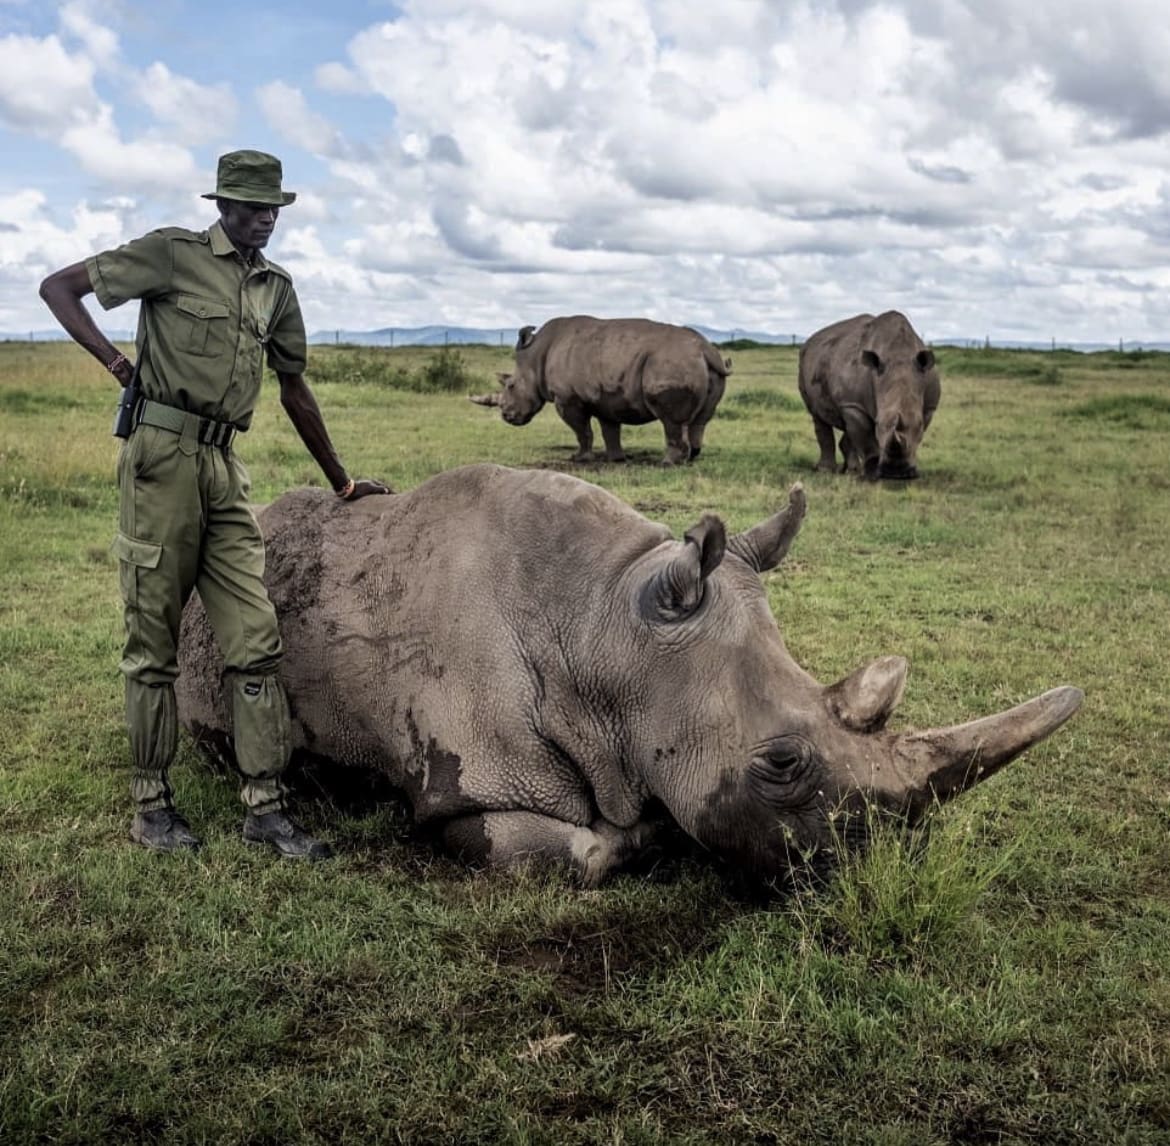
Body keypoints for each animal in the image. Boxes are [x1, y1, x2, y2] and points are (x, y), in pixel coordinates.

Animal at [170, 463, 1076, 884]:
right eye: (782, 763)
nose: (872, 863)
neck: (608, 629)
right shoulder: (463, 793)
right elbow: (585, 853)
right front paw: (638, 833)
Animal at [467, 316, 725, 463]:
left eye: (510, 385)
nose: (507, 417)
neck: (535, 357)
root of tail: (705, 350)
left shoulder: (567, 399)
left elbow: (582, 430)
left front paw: (579, 459)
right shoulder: (607, 399)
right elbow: (609, 429)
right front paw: (616, 459)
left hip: (670, 363)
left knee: (671, 420)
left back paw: (668, 463)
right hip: (707, 368)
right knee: (700, 420)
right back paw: (692, 457)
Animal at [800, 309, 935, 479]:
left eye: (919, 424)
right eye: (878, 424)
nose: (896, 473)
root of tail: (810, 341)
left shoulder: (929, 407)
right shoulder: (853, 404)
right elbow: (865, 437)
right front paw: (872, 473)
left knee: (847, 426)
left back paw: (851, 470)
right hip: (805, 362)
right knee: (818, 416)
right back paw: (827, 471)